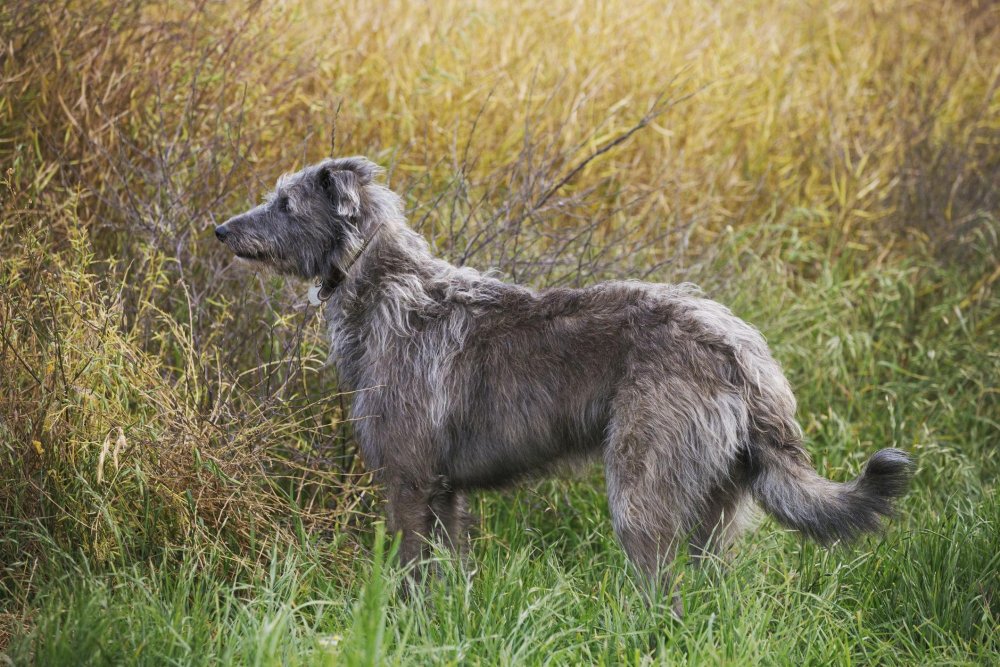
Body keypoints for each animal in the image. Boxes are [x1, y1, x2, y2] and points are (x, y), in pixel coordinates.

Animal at [217, 158, 916, 604]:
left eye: (285, 203)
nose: (220, 229)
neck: (383, 282)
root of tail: (743, 351)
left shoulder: (410, 483)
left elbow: (412, 574)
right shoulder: (446, 493)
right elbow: (449, 575)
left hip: (641, 489)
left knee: (664, 592)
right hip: (715, 507)